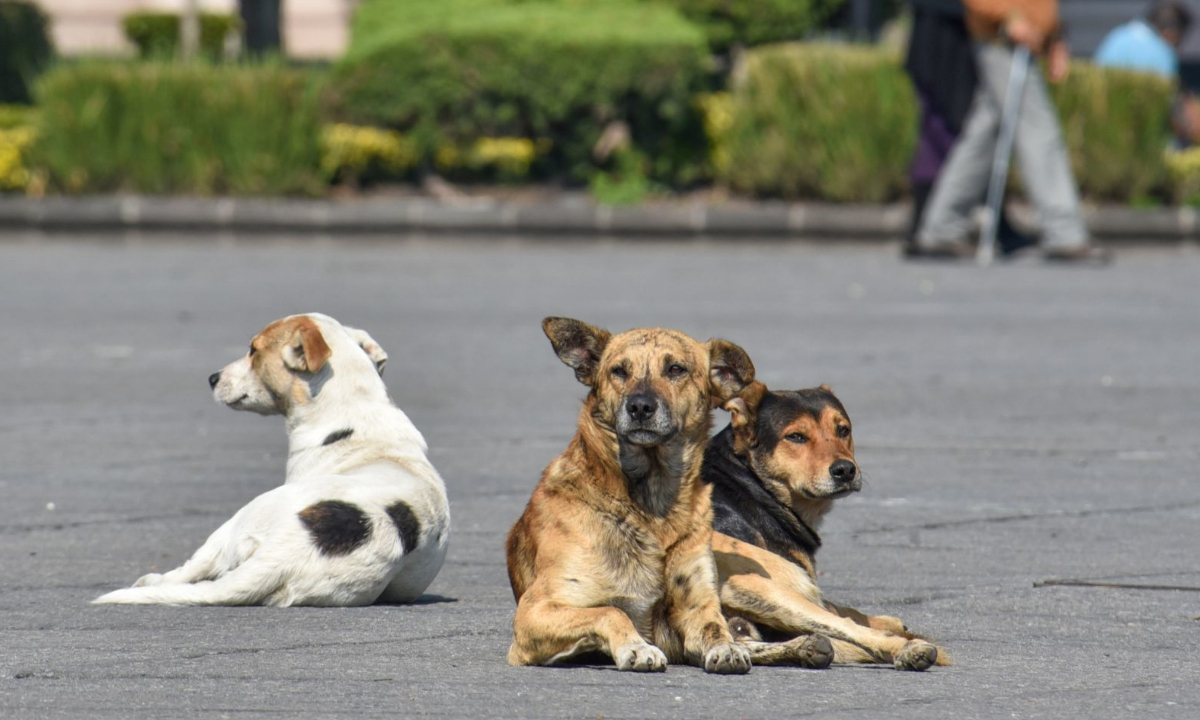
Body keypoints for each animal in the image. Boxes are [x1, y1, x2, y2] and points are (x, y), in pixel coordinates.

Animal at [93, 312, 451, 604]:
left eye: (253, 350)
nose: (212, 378)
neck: (355, 408)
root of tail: (288, 553)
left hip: (240, 519)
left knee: (193, 567)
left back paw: (153, 579)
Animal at [501, 316, 830, 672]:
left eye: (675, 369)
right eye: (619, 370)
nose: (640, 406)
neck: (651, 506)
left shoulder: (695, 607)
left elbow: (715, 629)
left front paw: (726, 649)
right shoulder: (535, 613)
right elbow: (610, 611)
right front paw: (637, 647)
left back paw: (804, 646)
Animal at [700, 381, 945, 667]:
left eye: (843, 430)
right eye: (796, 437)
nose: (845, 470)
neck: (748, 482)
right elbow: (845, 612)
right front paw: (890, 624)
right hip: (762, 589)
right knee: (845, 624)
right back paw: (908, 649)